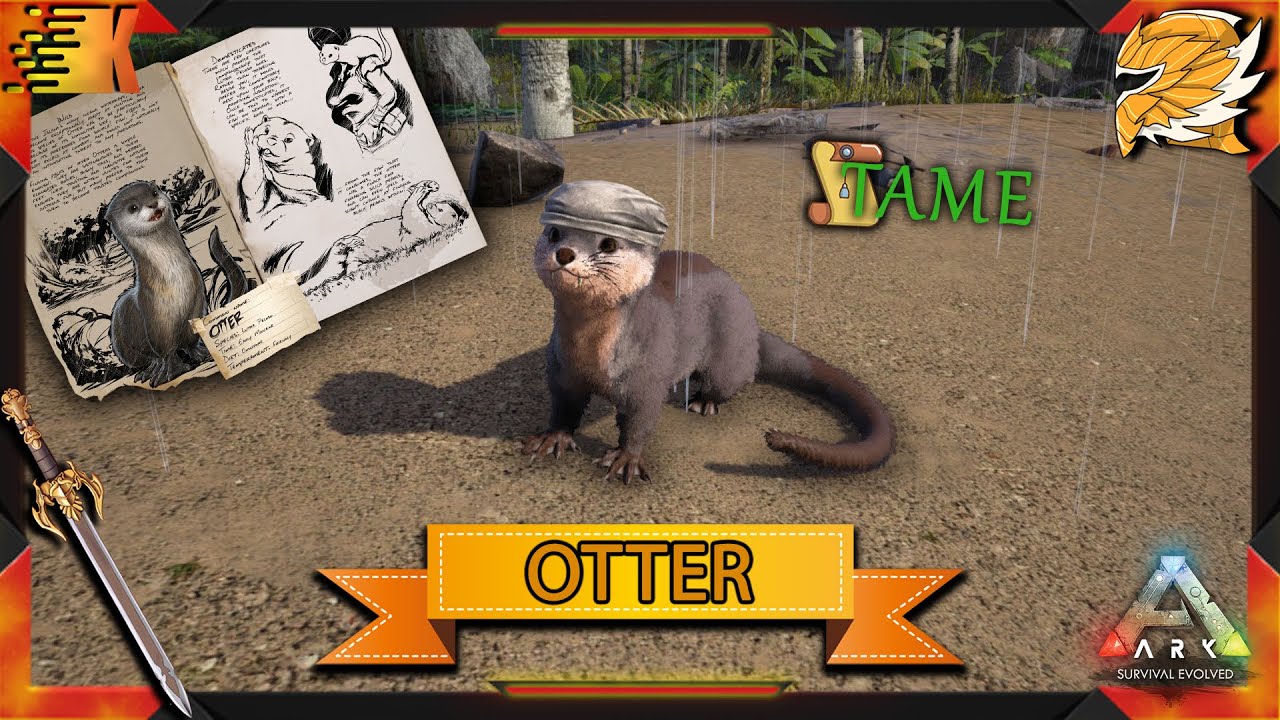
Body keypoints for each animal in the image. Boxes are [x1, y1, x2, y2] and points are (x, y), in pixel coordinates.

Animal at [106, 181, 223, 387]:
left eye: (154, 192)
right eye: (133, 207)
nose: (153, 204)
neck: (175, 280)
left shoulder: (197, 302)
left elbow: (190, 339)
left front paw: (202, 353)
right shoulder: (155, 318)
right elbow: (165, 350)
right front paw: (170, 372)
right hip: (124, 346)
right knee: (150, 358)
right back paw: (149, 371)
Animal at [522, 180, 895, 482]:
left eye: (609, 244)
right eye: (554, 233)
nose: (565, 253)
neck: (591, 355)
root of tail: (752, 324)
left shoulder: (646, 373)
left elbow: (640, 420)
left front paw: (625, 460)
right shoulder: (562, 370)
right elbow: (564, 407)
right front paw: (552, 438)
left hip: (729, 351)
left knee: (729, 380)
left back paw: (704, 402)